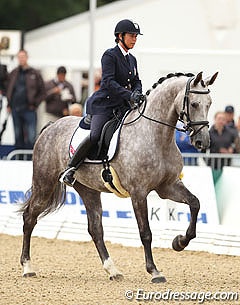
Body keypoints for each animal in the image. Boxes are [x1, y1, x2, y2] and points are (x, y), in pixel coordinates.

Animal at [19, 70, 218, 280]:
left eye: (209, 103)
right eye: (194, 104)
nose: (202, 142)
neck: (157, 135)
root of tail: (50, 126)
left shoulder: (168, 186)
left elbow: (195, 203)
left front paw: (179, 242)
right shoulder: (139, 193)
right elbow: (145, 232)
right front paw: (154, 271)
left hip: (88, 189)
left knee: (95, 229)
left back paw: (113, 270)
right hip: (44, 183)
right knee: (29, 218)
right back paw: (27, 267)